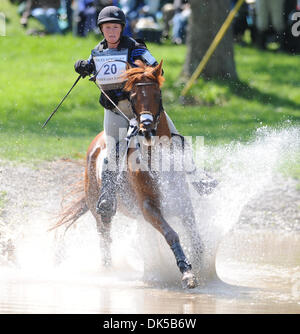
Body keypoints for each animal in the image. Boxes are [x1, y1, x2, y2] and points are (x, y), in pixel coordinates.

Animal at [54, 60, 204, 290]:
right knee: (105, 238)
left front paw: (200, 263)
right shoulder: (148, 207)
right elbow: (171, 234)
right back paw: (108, 272)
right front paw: (187, 272)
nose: (147, 128)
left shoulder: (182, 200)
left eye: (158, 94)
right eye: (133, 97)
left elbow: (195, 235)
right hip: (99, 210)